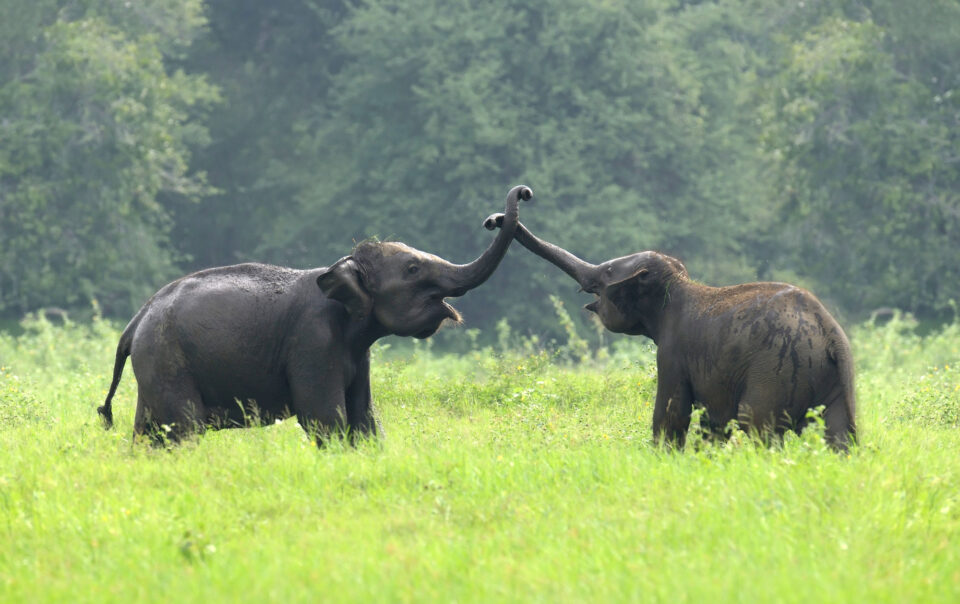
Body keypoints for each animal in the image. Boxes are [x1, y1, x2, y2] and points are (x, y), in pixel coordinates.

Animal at [97, 184, 532, 444]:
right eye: (412, 269)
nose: (520, 195)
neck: (338, 268)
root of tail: (135, 323)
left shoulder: (357, 352)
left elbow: (365, 417)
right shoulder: (313, 343)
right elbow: (325, 419)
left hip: (156, 365)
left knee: (149, 432)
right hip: (168, 360)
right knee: (181, 429)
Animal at [488, 215, 856, 450]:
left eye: (607, 272)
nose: (495, 219)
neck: (678, 285)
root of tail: (829, 333)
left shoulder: (673, 352)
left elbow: (671, 414)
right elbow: (712, 423)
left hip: (774, 372)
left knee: (757, 427)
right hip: (836, 379)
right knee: (841, 436)